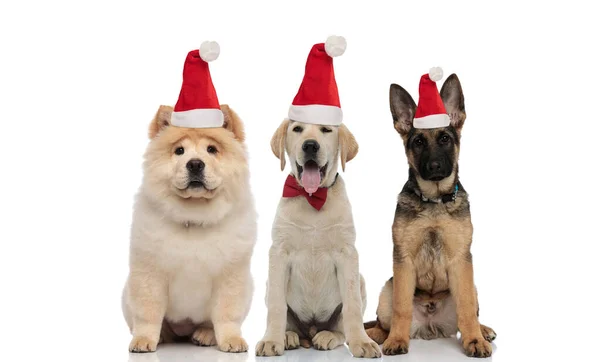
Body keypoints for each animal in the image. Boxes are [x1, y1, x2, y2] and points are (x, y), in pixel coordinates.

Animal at [122, 104, 255, 354]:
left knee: (209, 322)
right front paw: (143, 340)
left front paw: (232, 340)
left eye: (212, 149)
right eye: (179, 151)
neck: (194, 216)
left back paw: (206, 335)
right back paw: (162, 336)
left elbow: (226, 314)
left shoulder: (230, 276)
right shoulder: (150, 273)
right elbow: (148, 313)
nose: (194, 163)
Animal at [256, 120, 380, 358]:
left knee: (341, 328)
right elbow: (277, 305)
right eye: (297, 129)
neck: (312, 197)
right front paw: (271, 340)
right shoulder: (278, 253)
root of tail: (312, 328)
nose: (310, 146)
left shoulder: (347, 254)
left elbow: (352, 306)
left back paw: (328, 336)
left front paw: (362, 342)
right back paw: (287, 336)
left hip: (360, 281)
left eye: (326, 130)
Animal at [366, 73, 496, 356]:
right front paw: (397, 340)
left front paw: (474, 340)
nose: (435, 166)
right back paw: (377, 334)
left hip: (472, 284)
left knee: (471, 313)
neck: (435, 201)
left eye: (445, 139)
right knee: (382, 321)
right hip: (387, 288)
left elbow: (467, 308)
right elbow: (402, 307)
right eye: (418, 142)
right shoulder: (403, 261)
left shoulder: (462, 261)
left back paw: (482, 330)